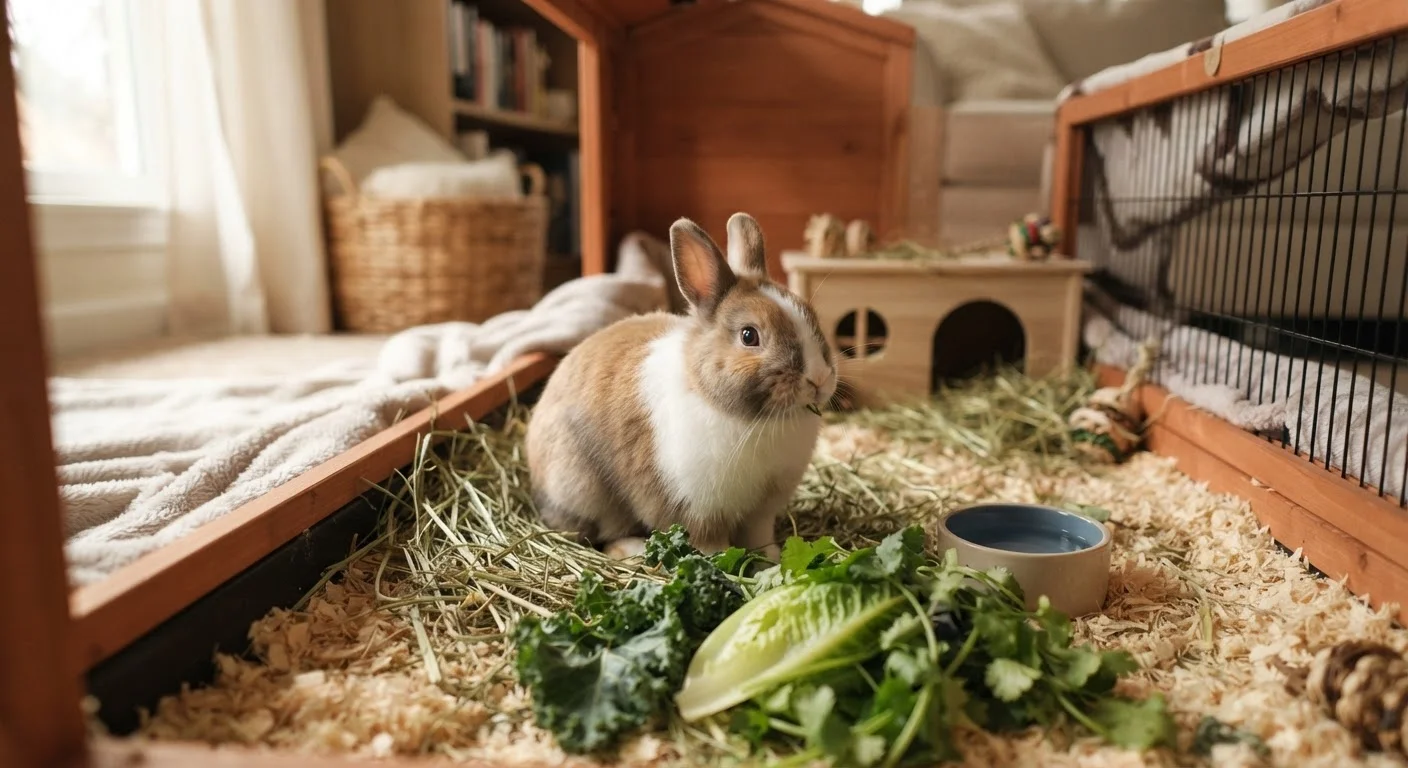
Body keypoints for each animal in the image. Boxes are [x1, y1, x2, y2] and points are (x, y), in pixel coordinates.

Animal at [526, 212, 838, 562]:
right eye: (749, 336)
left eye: (811, 316)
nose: (820, 378)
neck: (754, 419)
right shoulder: (698, 511)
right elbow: (710, 546)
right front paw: (724, 565)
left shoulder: (761, 512)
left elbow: (760, 537)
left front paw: (771, 560)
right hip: (586, 491)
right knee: (603, 535)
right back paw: (633, 549)